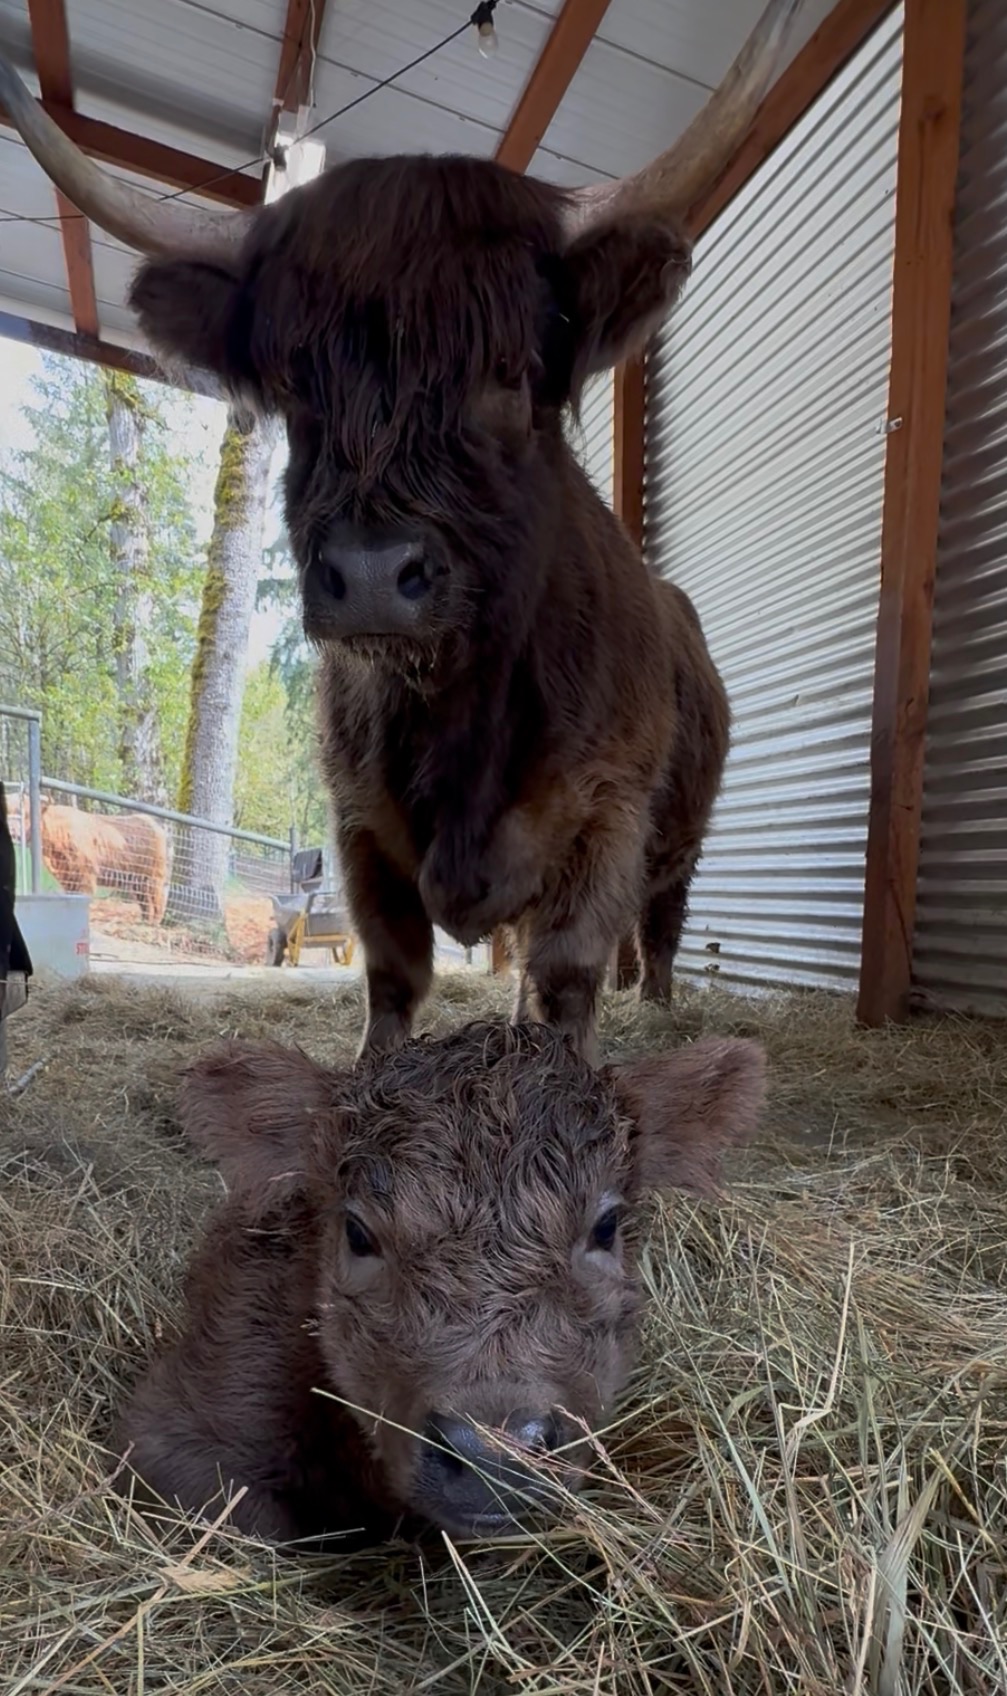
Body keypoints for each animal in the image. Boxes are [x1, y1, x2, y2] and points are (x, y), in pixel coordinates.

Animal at [0, 2, 807, 1063]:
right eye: (295, 384)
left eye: (512, 369)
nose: (375, 575)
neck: (462, 719)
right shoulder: (359, 824)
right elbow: (393, 973)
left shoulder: (607, 813)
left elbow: (569, 973)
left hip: (682, 833)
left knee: (663, 922)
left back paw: (664, 1008)